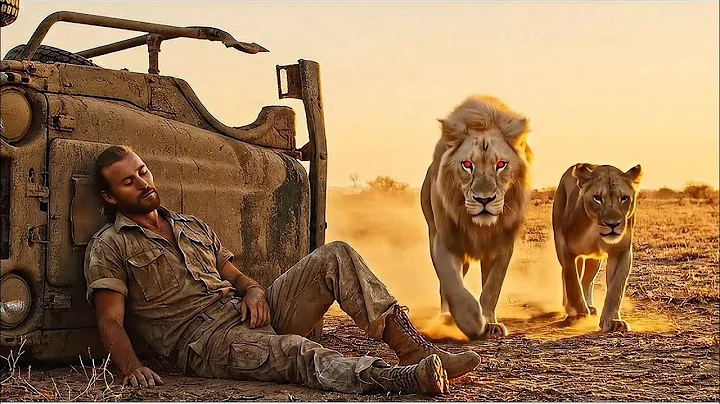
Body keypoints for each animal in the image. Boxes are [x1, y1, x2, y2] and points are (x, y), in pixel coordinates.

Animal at [420, 95, 533, 340]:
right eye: (467, 165)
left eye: (500, 164)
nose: (484, 199)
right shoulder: (445, 240)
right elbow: (452, 283)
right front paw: (470, 320)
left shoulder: (503, 243)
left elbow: (492, 286)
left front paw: (490, 322)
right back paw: (446, 318)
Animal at [552, 163, 643, 332]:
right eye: (597, 198)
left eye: (624, 198)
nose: (613, 224)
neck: (595, 231)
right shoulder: (567, 250)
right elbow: (572, 282)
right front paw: (579, 312)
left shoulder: (621, 251)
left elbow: (616, 288)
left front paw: (613, 321)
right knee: (569, 278)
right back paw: (572, 309)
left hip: (595, 260)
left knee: (587, 281)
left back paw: (590, 306)